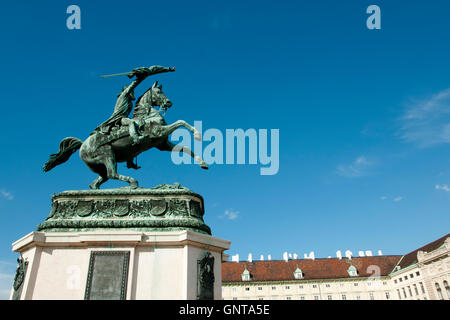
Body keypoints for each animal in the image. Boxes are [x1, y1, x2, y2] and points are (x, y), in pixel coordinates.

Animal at [44, 81, 207, 189]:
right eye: (159, 92)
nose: (169, 103)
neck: (147, 115)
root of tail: (82, 145)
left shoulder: (162, 144)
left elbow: (185, 149)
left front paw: (203, 163)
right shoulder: (159, 132)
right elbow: (180, 122)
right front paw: (197, 133)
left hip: (100, 167)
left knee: (96, 183)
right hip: (107, 155)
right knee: (112, 174)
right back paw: (133, 182)